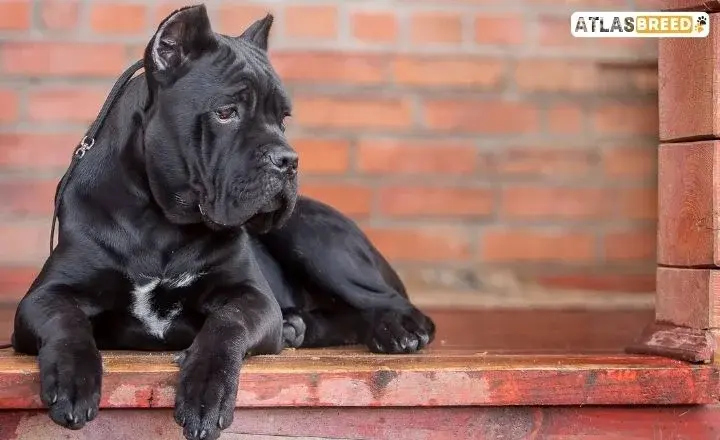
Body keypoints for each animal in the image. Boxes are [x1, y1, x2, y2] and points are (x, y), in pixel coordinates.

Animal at [11, 4, 436, 440]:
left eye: (282, 118)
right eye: (226, 112)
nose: (288, 160)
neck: (160, 222)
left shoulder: (252, 296)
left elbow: (225, 325)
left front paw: (205, 393)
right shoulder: (44, 297)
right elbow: (66, 322)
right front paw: (72, 379)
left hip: (312, 236)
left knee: (393, 303)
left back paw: (396, 331)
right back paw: (298, 327)